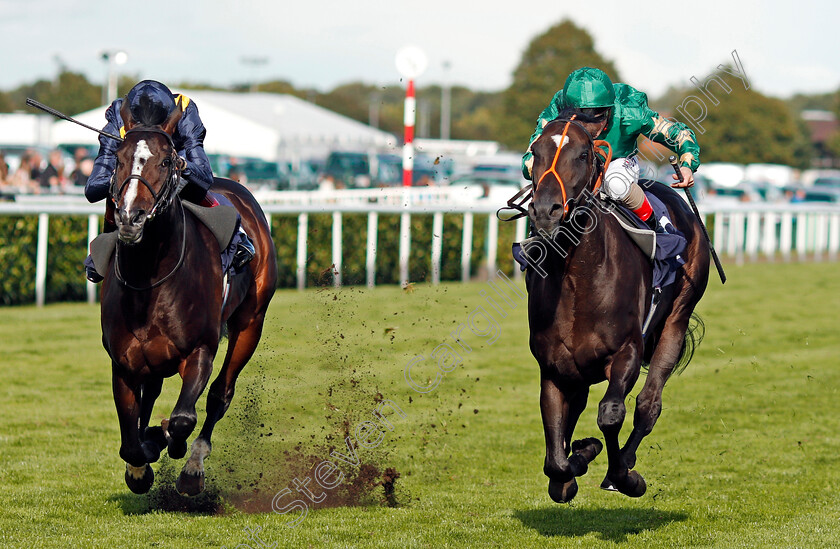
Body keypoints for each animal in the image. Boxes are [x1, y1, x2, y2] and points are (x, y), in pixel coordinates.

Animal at [101, 107, 278, 496]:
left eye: (167, 161)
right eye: (118, 159)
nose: (130, 217)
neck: (148, 281)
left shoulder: (199, 349)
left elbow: (183, 418)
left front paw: (171, 442)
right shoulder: (123, 362)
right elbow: (130, 440)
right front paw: (141, 464)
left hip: (251, 322)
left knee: (219, 394)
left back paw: (193, 463)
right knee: (153, 391)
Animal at [524, 115, 708, 500]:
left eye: (582, 154)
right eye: (535, 151)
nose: (546, 211)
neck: (577, 280)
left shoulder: (627, 351)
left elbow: (610, 414)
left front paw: (623, 476)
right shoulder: (553, 368)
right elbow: (555, 456)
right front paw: (578, 458)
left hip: (677, 317)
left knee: (648, 404)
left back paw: (624, 461)